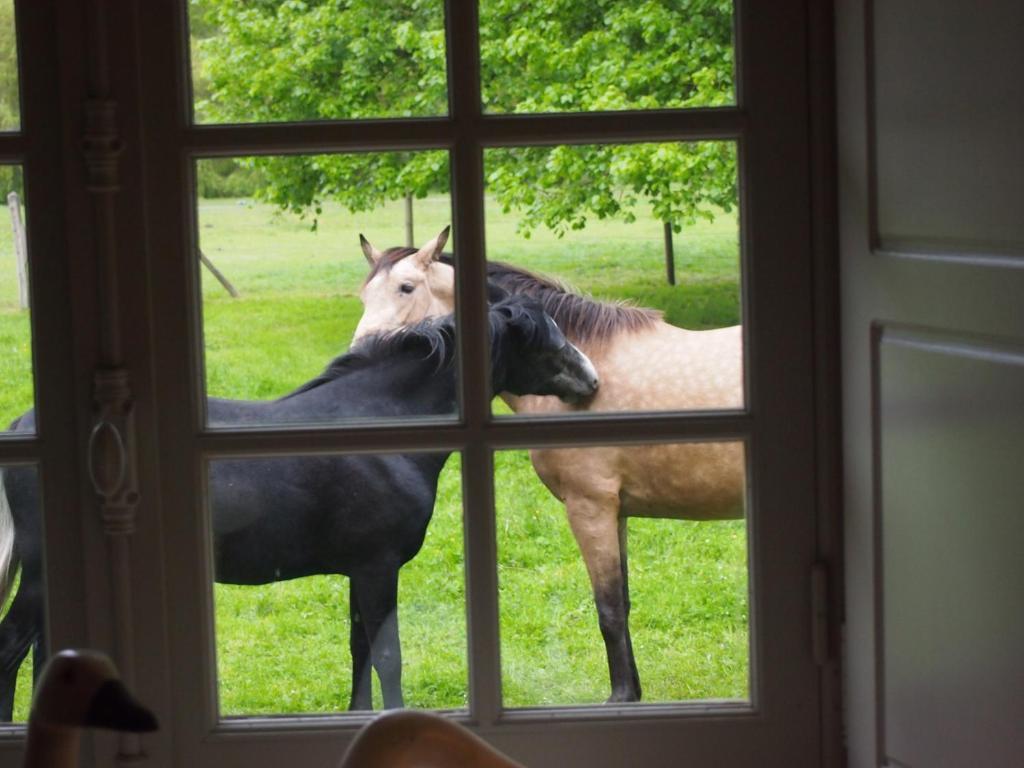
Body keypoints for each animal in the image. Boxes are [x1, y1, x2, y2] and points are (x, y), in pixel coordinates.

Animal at [0, 296, 598, 720]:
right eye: (546, 341)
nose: (592, 381)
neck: (378, 427)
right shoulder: (378, 568)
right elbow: (387, 656)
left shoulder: (360, 571)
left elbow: (360, 650)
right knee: (13, 645)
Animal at [356, 228, 741, 704]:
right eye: (364, 294)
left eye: (406, 288)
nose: (361, 353)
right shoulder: (616, 512)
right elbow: (623, 600)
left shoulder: (590, 508)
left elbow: (609, 608)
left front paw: (621, 697)